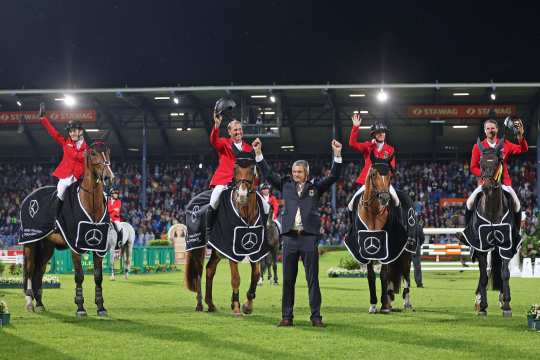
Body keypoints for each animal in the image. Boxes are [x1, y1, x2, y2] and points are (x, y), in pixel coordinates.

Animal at [21, 142, 114, 316]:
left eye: (108, 152)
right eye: (93, 153)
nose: (108, 177)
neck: (90, 203)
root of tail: (29, 196)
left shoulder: (98, 247)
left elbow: (98, 276)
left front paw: (101, 307)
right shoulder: (75, 247)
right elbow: (79, 276)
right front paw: (80, 307)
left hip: (47, 247)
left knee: (39, 272)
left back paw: (40, 304)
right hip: (30, 242)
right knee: (30, 271)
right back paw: (30, 303)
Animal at [185, 160, 264, 316]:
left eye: (252, 171)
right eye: (235, 170)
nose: (242, 195)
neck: (245, 212)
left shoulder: (253, 250)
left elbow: (256, 275)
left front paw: (247, 305)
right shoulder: (229, 249)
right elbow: (236, 278)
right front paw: (236, 307)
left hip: (216, 250)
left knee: (210, 270)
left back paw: (210, 304)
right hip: (197, 246)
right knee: (199, 273)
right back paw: (199, 305)